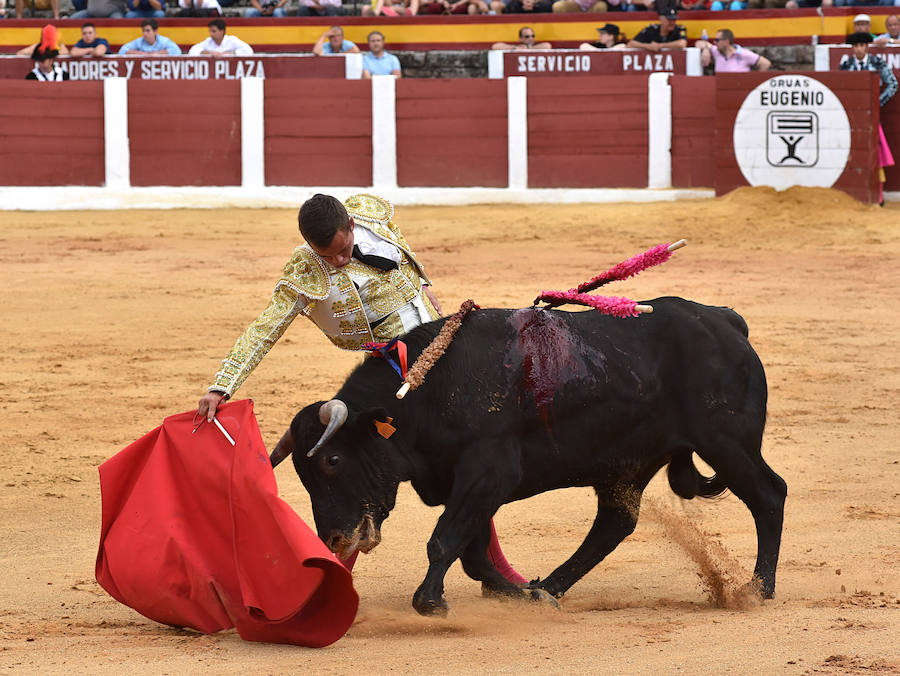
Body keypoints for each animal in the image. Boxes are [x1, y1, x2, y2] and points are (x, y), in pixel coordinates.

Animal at [270, 298, 784, 616]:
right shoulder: (464, 484)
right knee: (615, 522)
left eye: (332, 461)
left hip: (727, 441)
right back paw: (549, 588)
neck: (425, 392)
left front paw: (430, 602)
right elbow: (472, 552)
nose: (334, 540)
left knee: (768, 494)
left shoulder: (487, 473)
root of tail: (726, 320)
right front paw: (520, 593)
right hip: (628, 462)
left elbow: (445, 540)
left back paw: (757, 588)